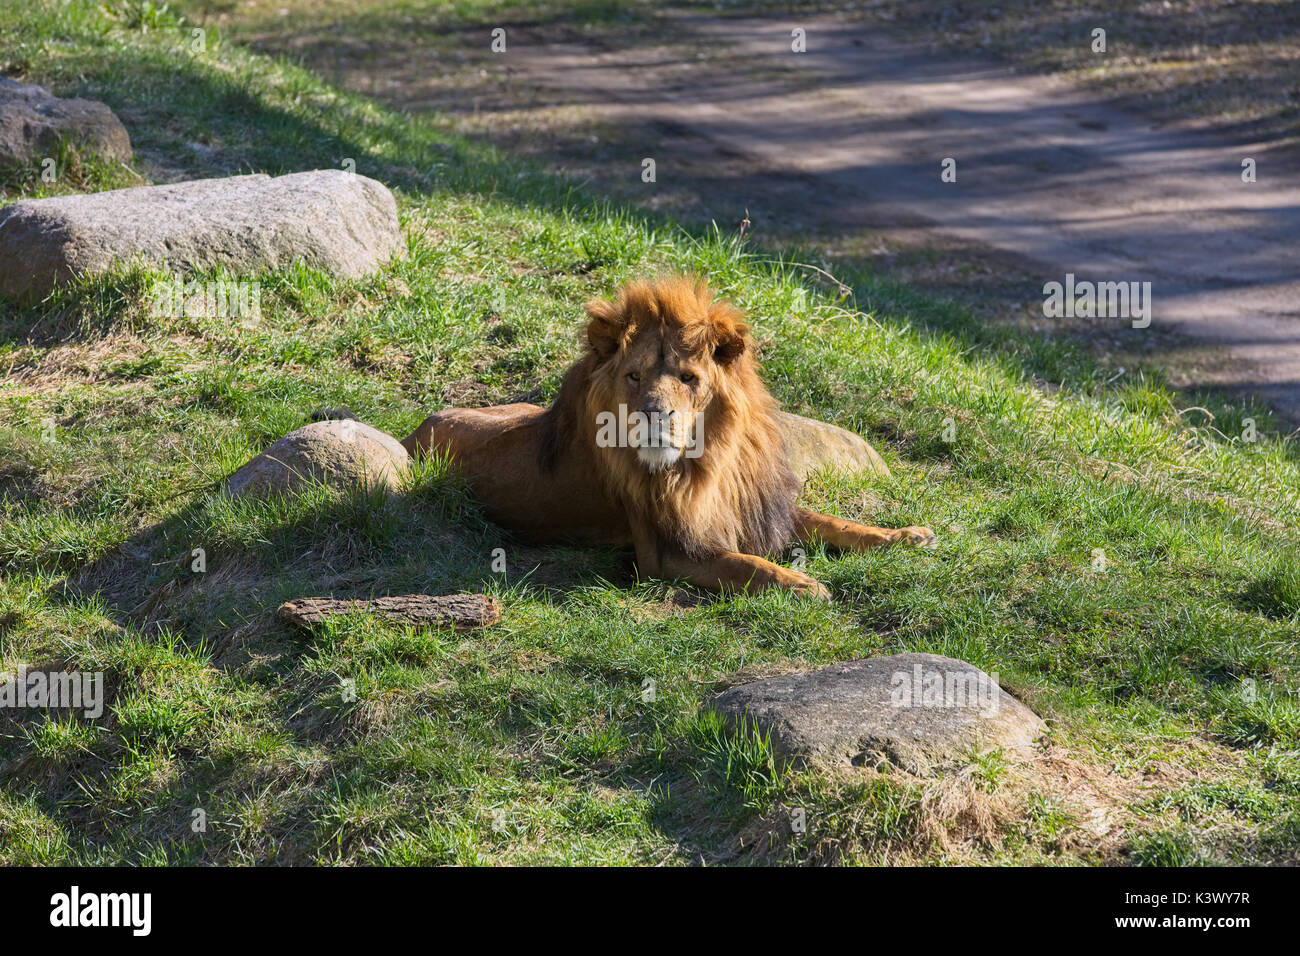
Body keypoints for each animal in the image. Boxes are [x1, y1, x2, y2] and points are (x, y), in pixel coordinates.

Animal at [397, 273, 935, 598]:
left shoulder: (757, 506)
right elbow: (745, 565)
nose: (654, 413)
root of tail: (414, 431)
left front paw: (905, 536)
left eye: (688, 378)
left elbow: (836, 522)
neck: (714, 459)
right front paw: (802, 584)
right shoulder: (665, 552)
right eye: (634, 377)